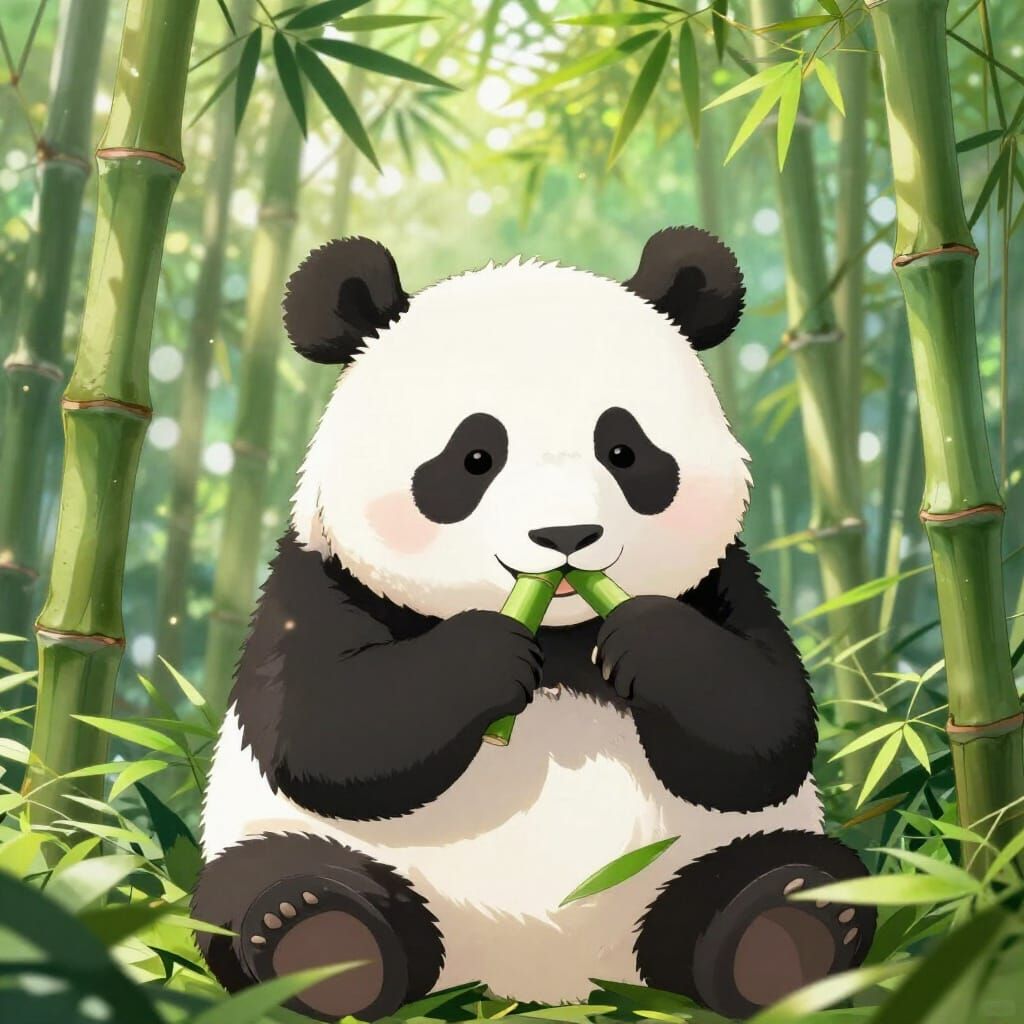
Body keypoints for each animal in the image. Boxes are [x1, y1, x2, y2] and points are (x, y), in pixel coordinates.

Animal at [194, 228, 875, 1022]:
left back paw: (788, 927)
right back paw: (319, 941)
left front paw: (649, 642)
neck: (558, 627)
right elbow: (321, 729)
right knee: (259, 881)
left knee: (780, 869)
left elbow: (764, 727)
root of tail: (538, 981)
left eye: (625, 451)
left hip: (683, 872)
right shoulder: (319, 579)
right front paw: (483, 660)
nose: (566, 536)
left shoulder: (725, 582)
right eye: (474, 457)